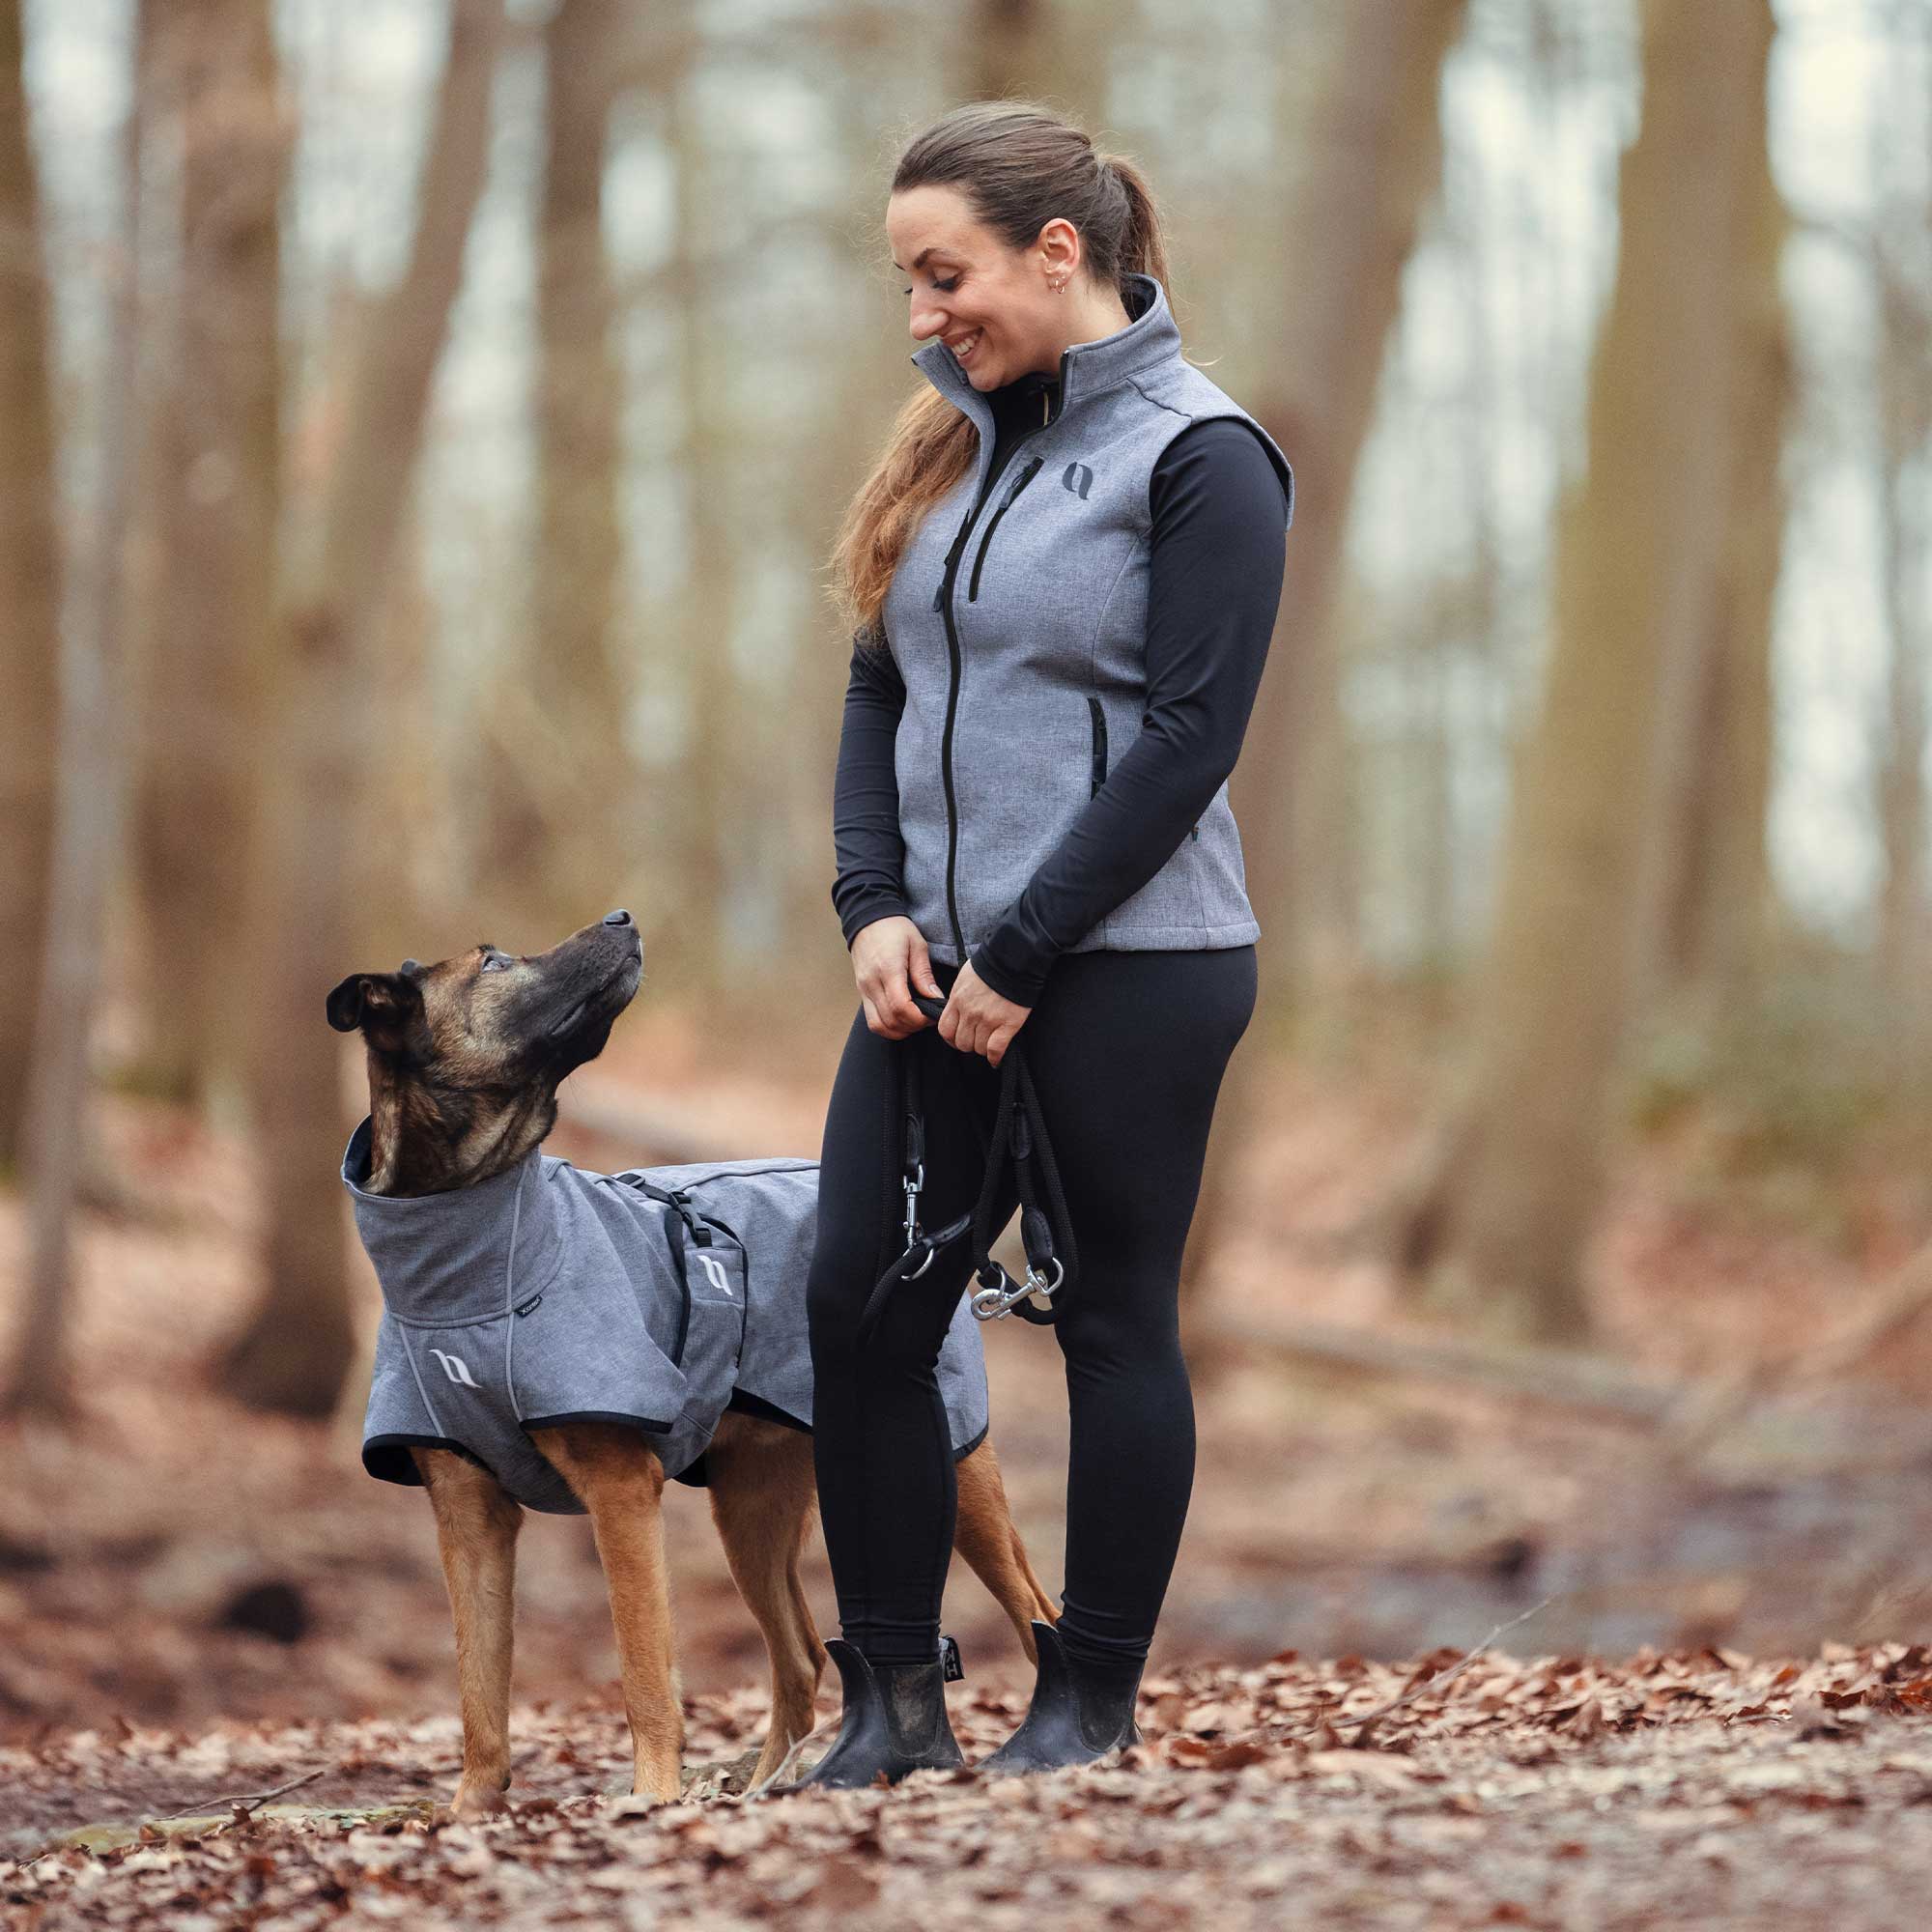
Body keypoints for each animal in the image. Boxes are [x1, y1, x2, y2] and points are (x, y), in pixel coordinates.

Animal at [332, 912, 1059, 1816]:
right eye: (494, 964)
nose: (621, 918)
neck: (471, 1255)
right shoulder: (468, 1516)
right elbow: (479, 1690)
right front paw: (473, 1812)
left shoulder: (620, 1493)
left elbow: (645, 1678)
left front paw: (651, 1798)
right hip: (752, 1508)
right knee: (801, 1658)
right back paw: (769, 1786)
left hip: (956, 1469)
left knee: (1035, 1610)